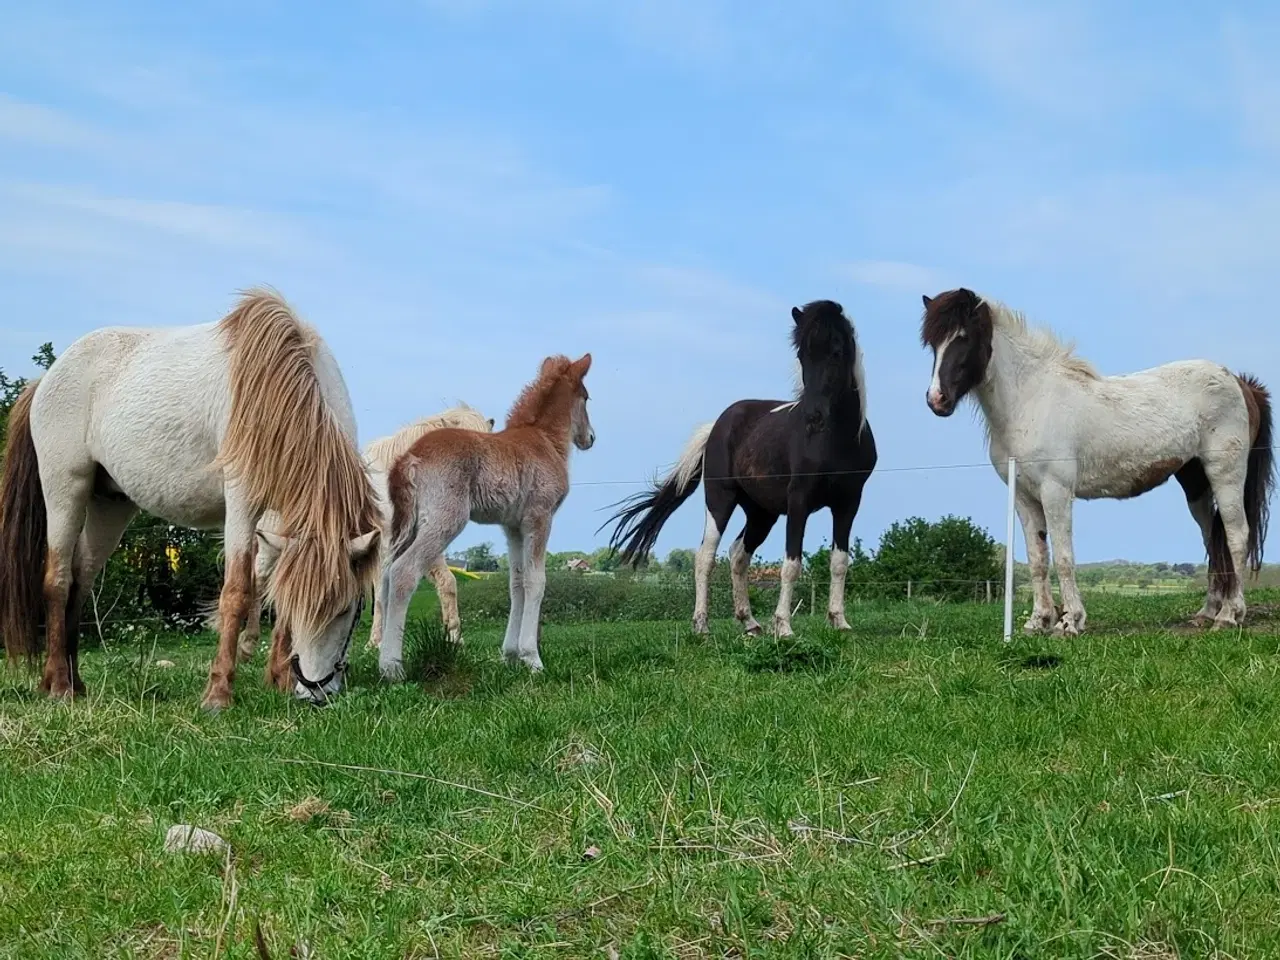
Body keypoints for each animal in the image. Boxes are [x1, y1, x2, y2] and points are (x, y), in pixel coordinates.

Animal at [0, 289, 378, 711]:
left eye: (348, 609)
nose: (314, 693)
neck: (279, 393)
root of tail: (47, 379)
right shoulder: (242, 504)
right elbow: (237, 592)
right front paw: (218, 694)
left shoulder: (282, 518)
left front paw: (277, 679)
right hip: (65, 489)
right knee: (59, 580)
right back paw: (60, 686)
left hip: (109, 505)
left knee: (81, 581)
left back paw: (72, 682)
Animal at [240, 401, 494, 660]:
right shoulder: (384, 548)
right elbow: (382, 596)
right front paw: (375, 644)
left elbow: (447, 583)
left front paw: (454, 638)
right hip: (269, 549)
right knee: (259, 582)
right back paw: (249, 644)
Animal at [373, 355, 593, 686]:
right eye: (587, 398)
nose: (590, 438)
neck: (543, 440)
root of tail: (408, 457)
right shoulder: (539, 517)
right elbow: (537, 581)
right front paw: (533, 658)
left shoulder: (512, 527)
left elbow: (516, 583)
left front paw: (510, 656)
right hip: (445, 519)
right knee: (403, 572)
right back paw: (392, 667)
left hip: (407, 525)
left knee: (386, 576)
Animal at [604, 302, 875, 640]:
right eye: (802, 355)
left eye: (837, 351)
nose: (813, 417)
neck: (834, 442)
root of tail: (717, 426)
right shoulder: (799, 501)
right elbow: (791, 564)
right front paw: (784, 627)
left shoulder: (849, 503)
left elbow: (839, 561)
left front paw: (839, 621)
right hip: (720, 500)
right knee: (705, 557)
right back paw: (702, 625)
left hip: (762, 512)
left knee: (738, 554)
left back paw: (750, 622)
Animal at [921, 289, 1269, 634]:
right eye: (932, 342)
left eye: (963, 336)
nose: (937, 400)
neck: (1031, 401)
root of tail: (1240, 383)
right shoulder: (1023, 497)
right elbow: (1037, 558)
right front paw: (1038, 621)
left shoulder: (1055, 491)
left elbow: (1063, 557)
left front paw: (1069, 621)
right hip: (1195, 482)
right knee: (1213, 541)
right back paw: (1207, 612)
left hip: (1226, 475)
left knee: (1236, 537)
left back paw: (1229, 616)